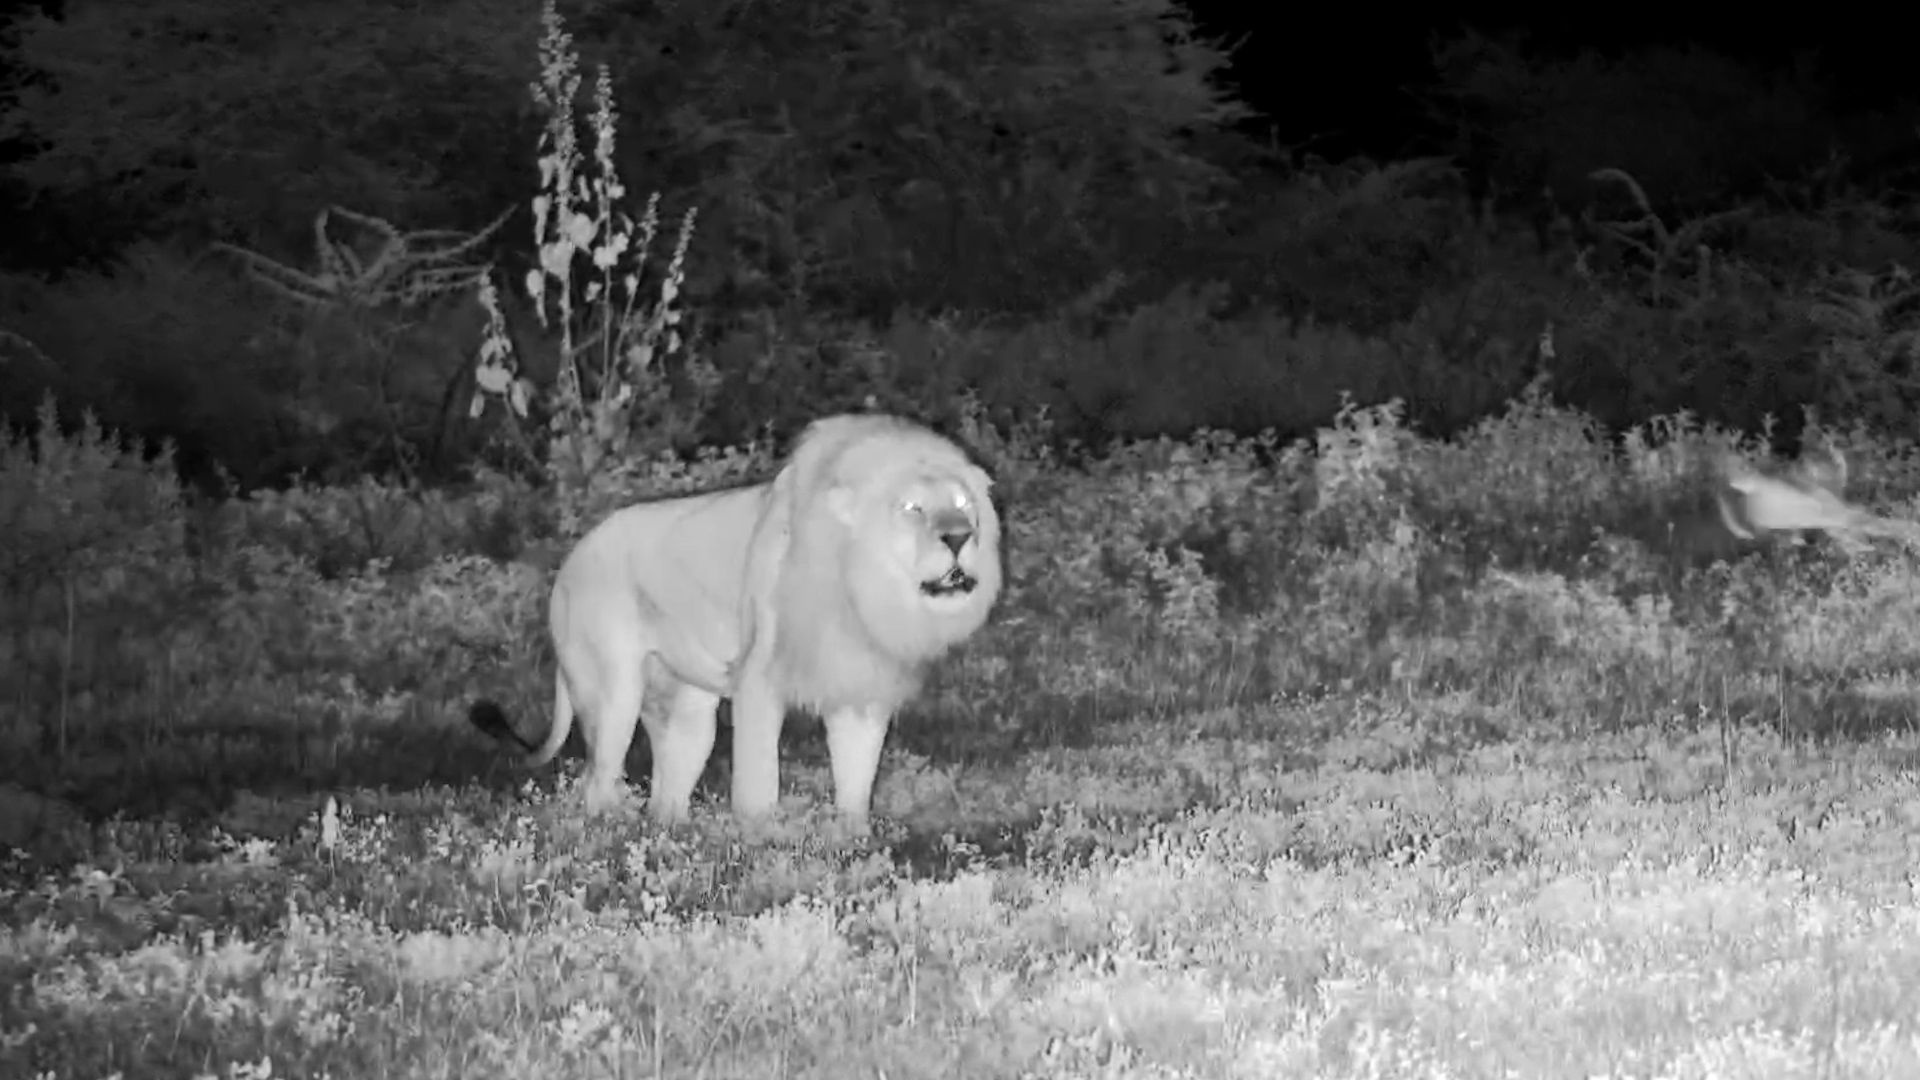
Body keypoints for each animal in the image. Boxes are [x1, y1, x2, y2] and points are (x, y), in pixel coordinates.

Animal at [469, 412, 1003, 828]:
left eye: (963, 506)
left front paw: (852, 842)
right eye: (912, 508)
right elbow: (759, 773)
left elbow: (857, 777)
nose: (960, 537)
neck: (864, 593)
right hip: (612, 691)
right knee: (595, 783)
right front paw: (759, 837)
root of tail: (568, 563)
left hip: (686, 710)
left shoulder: (858, 685)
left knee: (665, 794)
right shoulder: (760, 679)